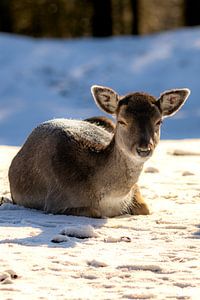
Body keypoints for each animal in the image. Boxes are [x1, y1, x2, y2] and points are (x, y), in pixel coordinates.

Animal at [7, 85, 190, 217]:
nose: (143, 149)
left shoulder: (136, 190)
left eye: (159, 121)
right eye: (122, 121)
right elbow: (95, 212)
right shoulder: (55, 202)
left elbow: (145, 209)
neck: (110, 198)